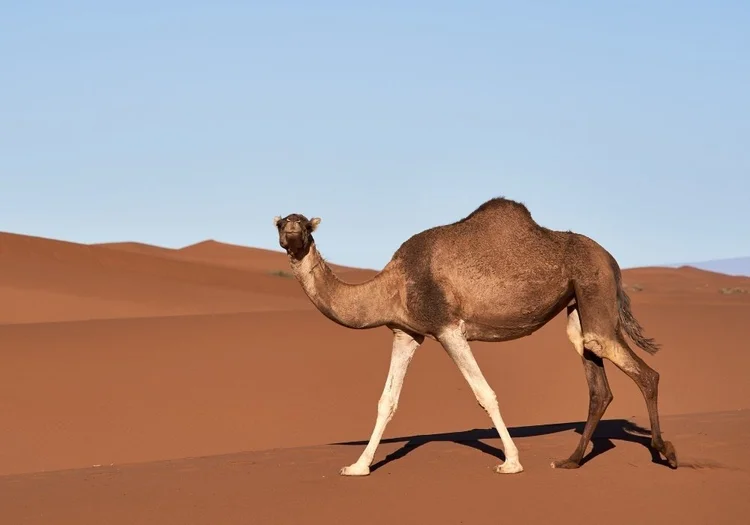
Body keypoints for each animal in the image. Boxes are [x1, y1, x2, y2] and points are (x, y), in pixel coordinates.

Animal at [273, 196, 678, 476]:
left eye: (307, 225)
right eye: (279, 224)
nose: (292, 228)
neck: (393, 284)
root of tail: (611, 260)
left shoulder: (448, 328)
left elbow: (485, 394)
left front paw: (511, 462)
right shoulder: (407, 332)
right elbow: (386, 401)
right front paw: (358, 467)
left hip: (595, 288)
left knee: (641, 370)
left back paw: (666, 452)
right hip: (578, 304)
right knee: (598, 383)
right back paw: (571, 461)